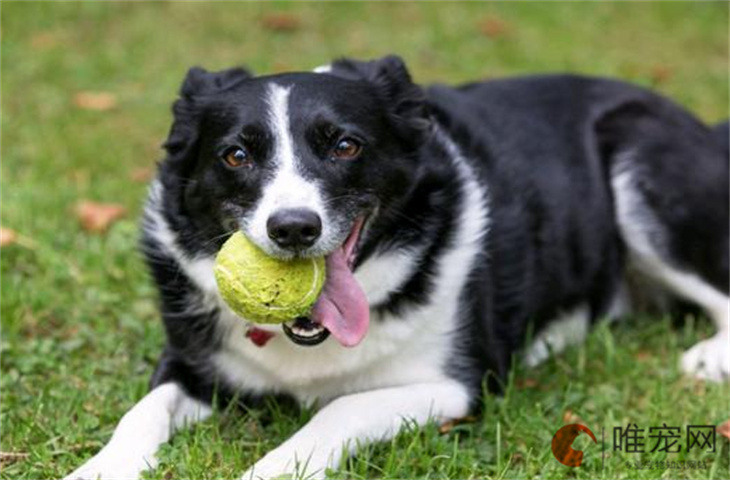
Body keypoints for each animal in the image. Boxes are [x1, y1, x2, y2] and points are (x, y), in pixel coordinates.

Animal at [64, 54, 728, 478]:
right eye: (235, 155)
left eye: (345, 145)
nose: (294, 229)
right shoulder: (192, 363)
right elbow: (141, 412)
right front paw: (99, 468)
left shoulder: (456, 385)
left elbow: (340, 407)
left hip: (642, 166)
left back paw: (709, 357)